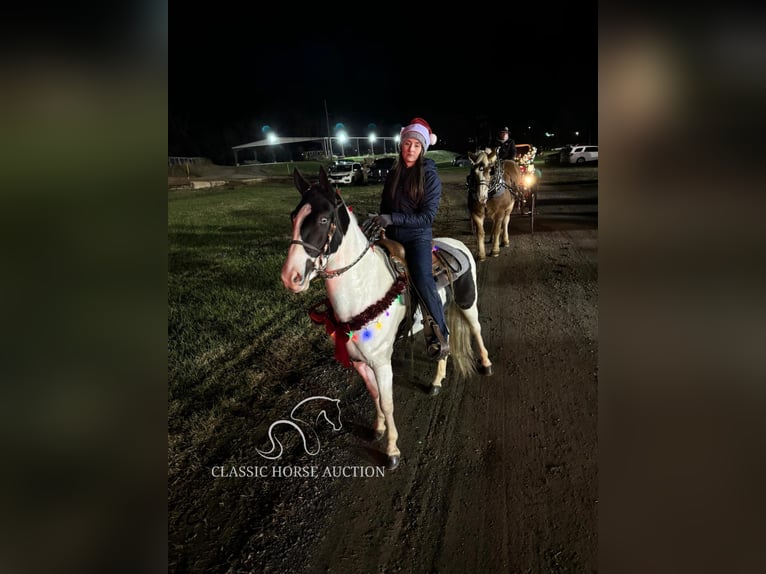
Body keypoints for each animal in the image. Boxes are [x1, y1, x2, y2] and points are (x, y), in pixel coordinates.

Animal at [280, 164, 492, 470]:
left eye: (322, 219)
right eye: (293, 216)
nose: (291, 277)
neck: (364, 289)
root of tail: (457, 246)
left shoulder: (381, 362)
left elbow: (388, 401)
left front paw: (392, 450)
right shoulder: (359, 362)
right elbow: (376, 397)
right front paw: (378, 428)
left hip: (467, 303)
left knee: (476, 330)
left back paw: (486, 364)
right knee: (445, 340)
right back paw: (436, 381)